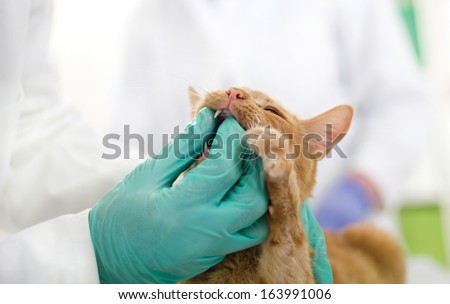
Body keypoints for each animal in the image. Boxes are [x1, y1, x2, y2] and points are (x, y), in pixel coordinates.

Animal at [181, 86, 406, 284]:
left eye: (272, 111)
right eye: (226, 88)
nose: (234, 91)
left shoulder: (300, 280)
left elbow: (291, 242)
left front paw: (274, 149)